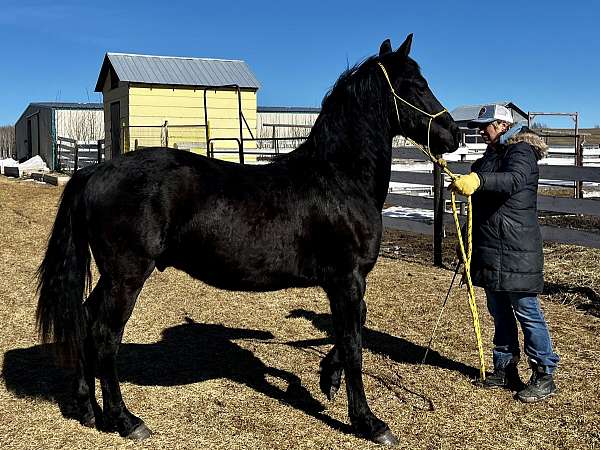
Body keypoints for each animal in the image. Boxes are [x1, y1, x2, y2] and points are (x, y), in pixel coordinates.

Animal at [37, 34, 460, 442]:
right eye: (415, 85)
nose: (453, 134)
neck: (339, 177)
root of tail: (93, 172)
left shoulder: (343, 283)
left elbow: (350, 332)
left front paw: (328, 378)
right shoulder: (347, 279)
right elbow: (354, 343)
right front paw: (369, 422)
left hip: (112, 277)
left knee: (83, 320)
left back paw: (86, 407)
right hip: (126, 276)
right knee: (104, 334)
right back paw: (125, 420)